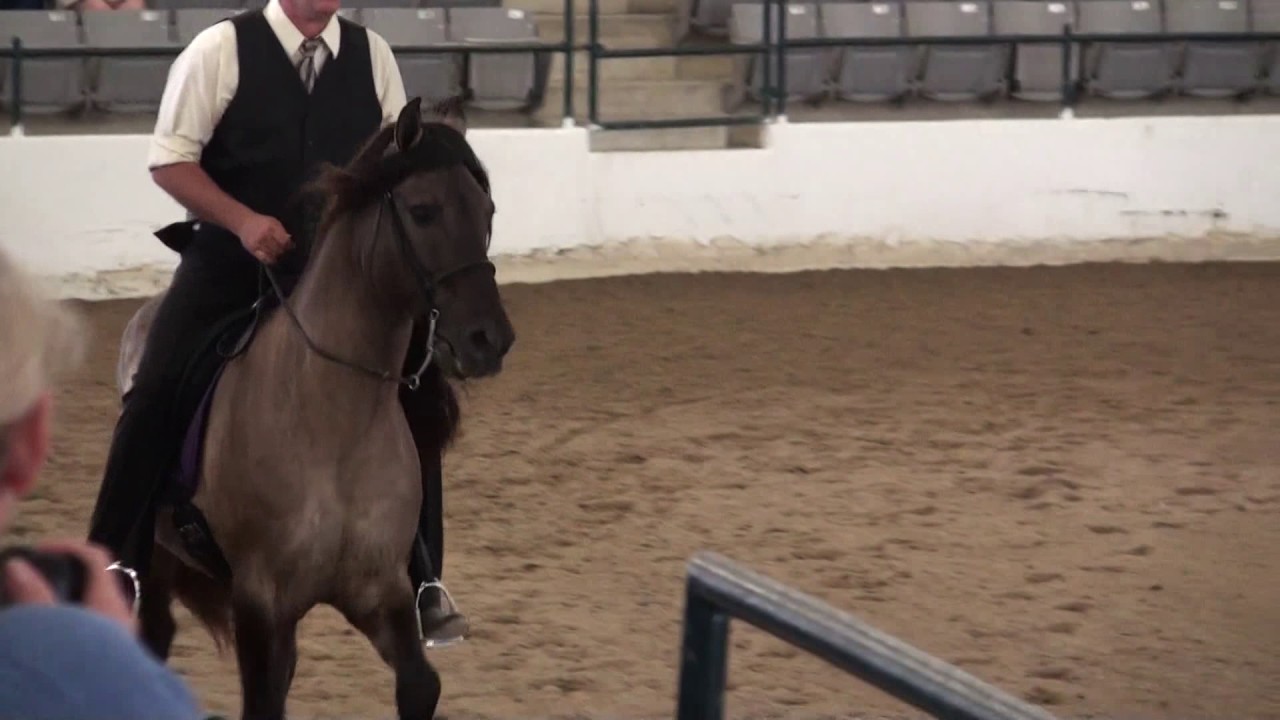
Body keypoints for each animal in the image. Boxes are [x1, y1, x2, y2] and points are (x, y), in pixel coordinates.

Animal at [114, 96, 515, 720]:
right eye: (423, 211)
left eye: (487, 210)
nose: (488, 340)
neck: (330, 422)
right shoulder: (260, 602)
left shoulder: (380, 591)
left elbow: (420, 685)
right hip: (156, 563)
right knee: (151, 635)